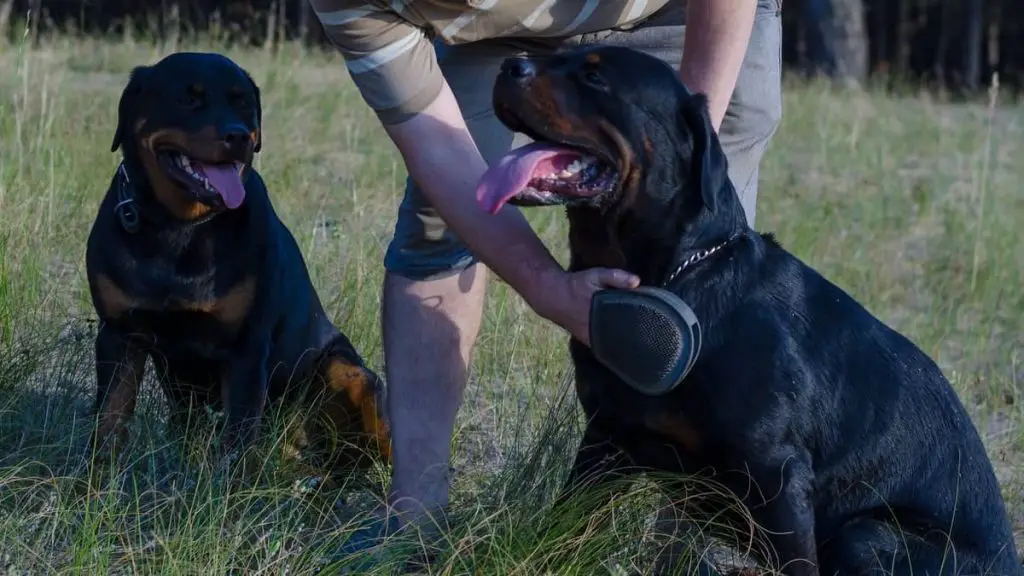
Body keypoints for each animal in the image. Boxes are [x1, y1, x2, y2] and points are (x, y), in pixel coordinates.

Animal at [81, 52, 387, 475]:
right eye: (188, 98)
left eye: (242, 102)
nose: (239, 135)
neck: (180, 227)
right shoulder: (118, 334)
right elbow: (109, 421)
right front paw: (92, 483)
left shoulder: (246, 346)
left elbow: (238, 444)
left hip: (353, 374)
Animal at [475, 45, 1019, 573]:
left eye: (594, 77)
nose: (509, 65)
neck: (673, 278)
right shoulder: (606, 436)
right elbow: (562, 529)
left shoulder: (776, 472)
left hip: (869, 536)